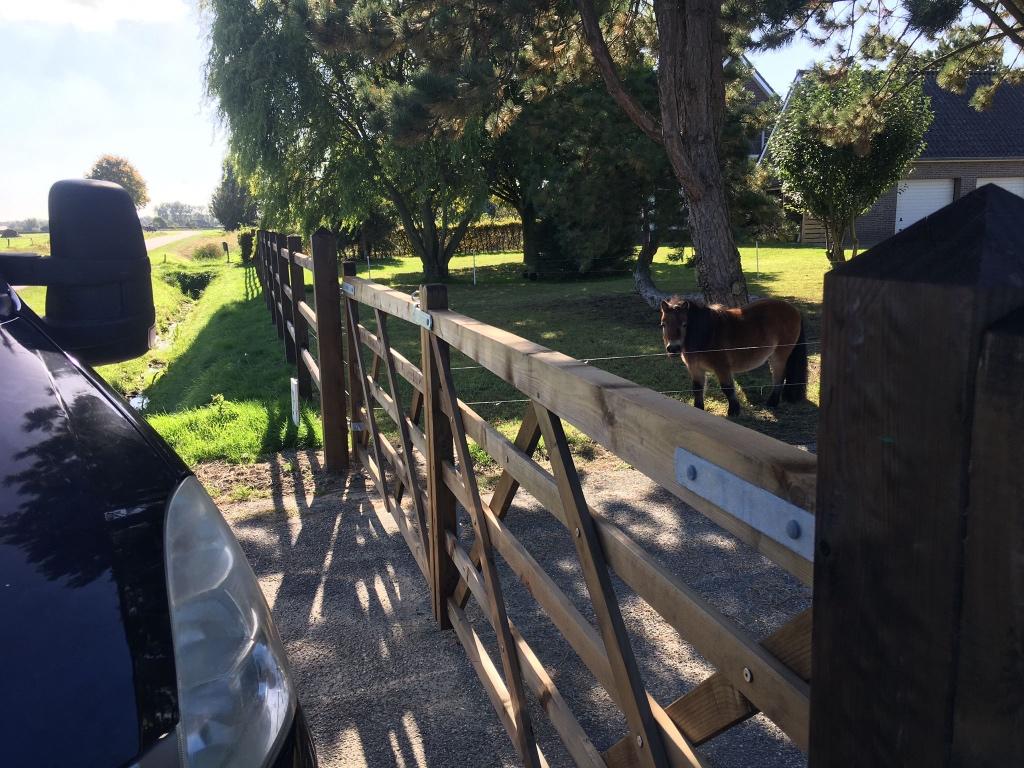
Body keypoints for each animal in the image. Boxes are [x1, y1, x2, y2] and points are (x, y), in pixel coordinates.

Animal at [659, 297, 807, 416]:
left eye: (684, 324)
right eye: (663, 324)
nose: (673, 348)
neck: (707, 334)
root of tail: (794, 310)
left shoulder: (722, 368)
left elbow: (727, 388)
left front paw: (734, 411)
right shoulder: (696, 369)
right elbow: (697, 388)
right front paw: (698, 408)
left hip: (779, 356)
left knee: (779, 376)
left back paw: (772, 402)